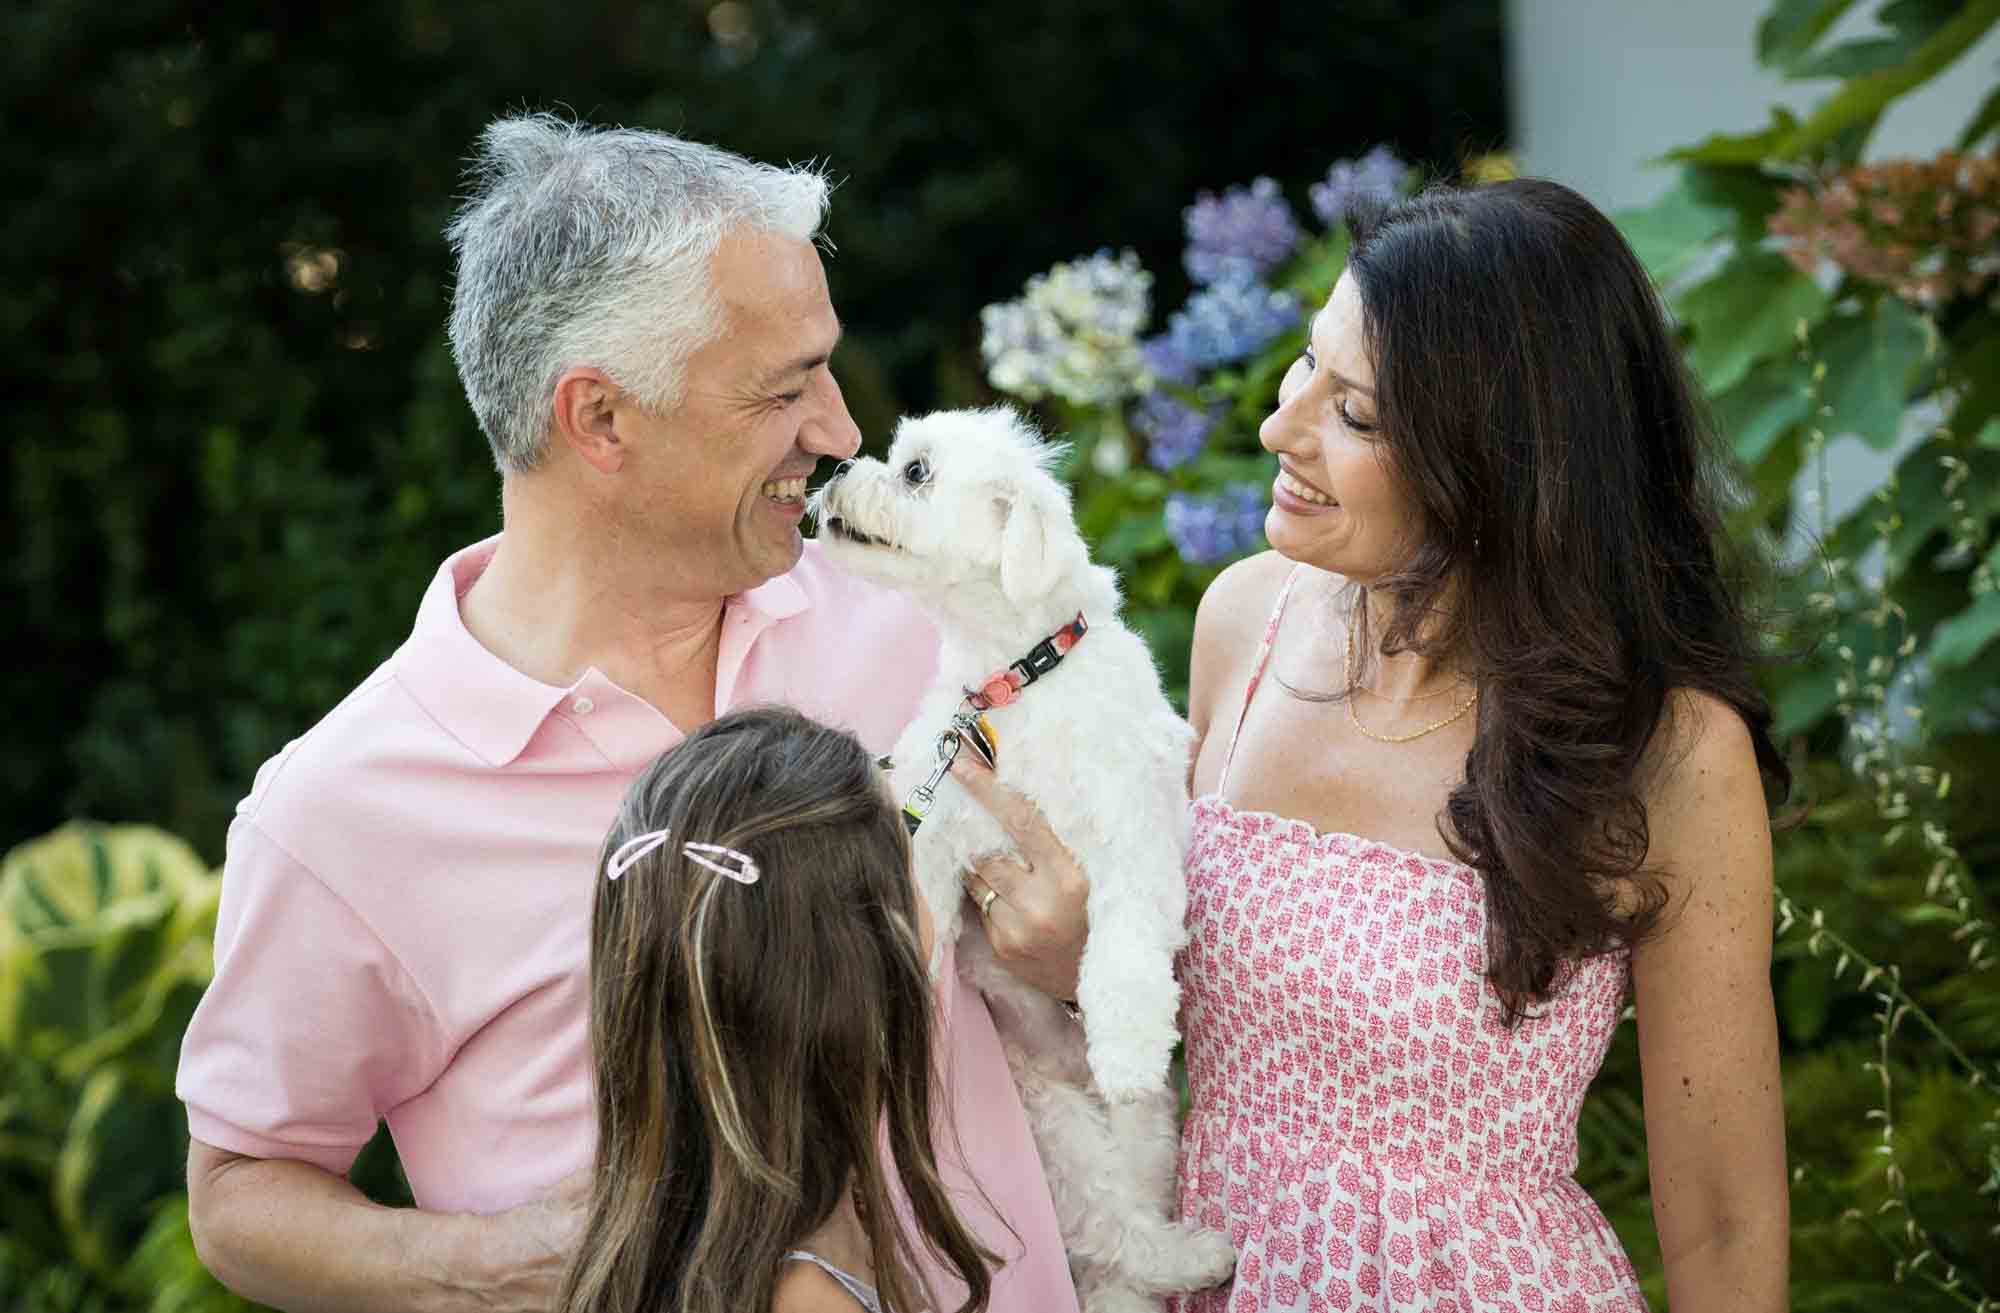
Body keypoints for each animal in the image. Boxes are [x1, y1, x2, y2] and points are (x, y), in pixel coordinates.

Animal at [812, 404, 1232, 1304]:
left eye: (917, 471)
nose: (835, 470)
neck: (1012, 686)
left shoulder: (1135, 828)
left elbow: (1123, 944)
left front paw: (1129, 1038)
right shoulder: (936, 832)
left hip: (1134, 1129)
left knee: (1127, 1226)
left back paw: (1193, 1254)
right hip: (1057, 1127)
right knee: (1109, 1227)